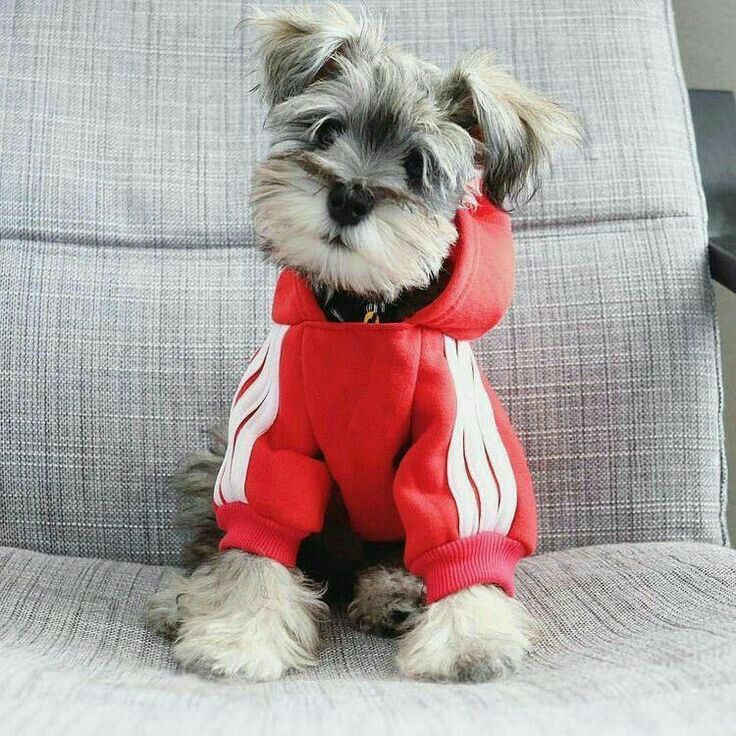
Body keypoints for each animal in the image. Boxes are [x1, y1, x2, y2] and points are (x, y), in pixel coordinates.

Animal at [144, 4, 580, 684]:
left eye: (418, 165)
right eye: (326, 131)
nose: (348, 196)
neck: (362, 317)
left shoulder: (450, 453)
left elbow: (460, 543)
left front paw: (469, 640)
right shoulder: (267, 445)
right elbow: (257, 545)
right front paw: (238, 636)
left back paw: (395, 596)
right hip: (215, 463)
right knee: (214, 544)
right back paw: (182, 599)